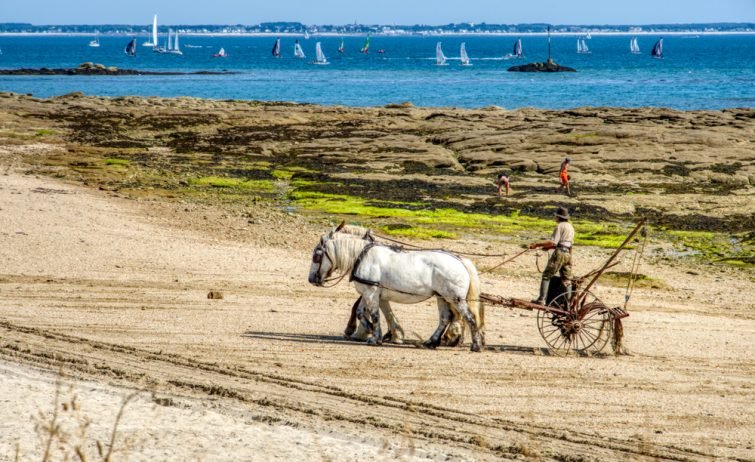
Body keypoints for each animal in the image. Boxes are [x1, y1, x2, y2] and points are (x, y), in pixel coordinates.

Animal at [310, 235, 488, 350]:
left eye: (317, 256)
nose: (311, 279)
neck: (362, 258)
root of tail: (460, 260)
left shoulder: (371, 293)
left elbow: (374, 315)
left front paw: (375, 338)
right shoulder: (367, 293)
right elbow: (361, 312)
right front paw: (372, 331)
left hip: (455, 298)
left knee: (470, 318)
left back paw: (476, 345)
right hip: (442, 297)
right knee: (445, 318)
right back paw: (431, 342)